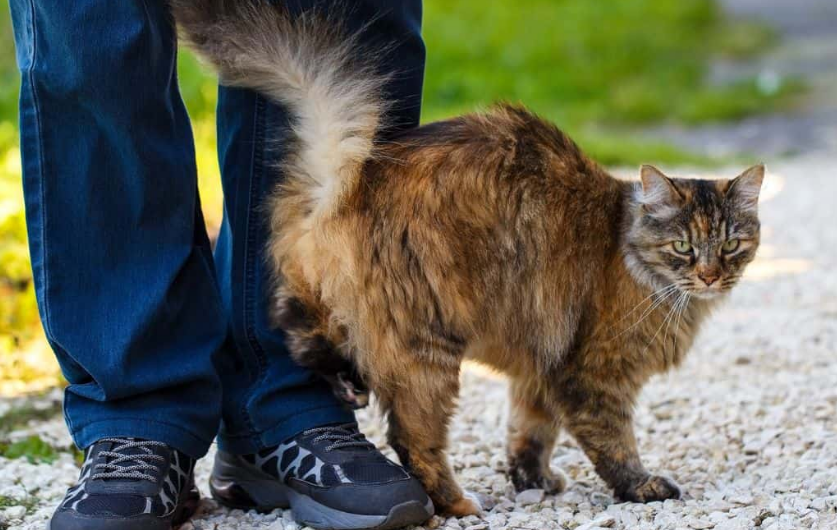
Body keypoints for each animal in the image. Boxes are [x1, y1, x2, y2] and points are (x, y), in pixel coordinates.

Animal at [175, 0, 764, 512]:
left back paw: (347, 384)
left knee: (299, 335)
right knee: (413, 441)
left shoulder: (540, 368)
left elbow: (530, 429)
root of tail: (352, 179)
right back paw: (455, 503)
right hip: (426, 350)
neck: (631, 254)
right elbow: (614, 441)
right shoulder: (591, 374)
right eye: (684, 247)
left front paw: (533, 479)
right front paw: (641, 486)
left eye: (731, 244)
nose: (710, 275)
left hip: (333, 306)